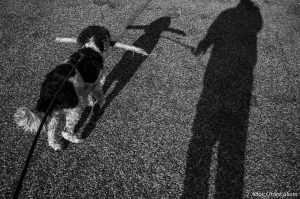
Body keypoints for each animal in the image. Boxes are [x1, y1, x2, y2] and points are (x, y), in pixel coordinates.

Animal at [14, 25, 148, 149]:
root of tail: (48, 92)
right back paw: (77, 139)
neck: (90, 47)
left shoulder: (85, 86)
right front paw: (99, 105)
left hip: (54, 114)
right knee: (65, 132)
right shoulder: (98, 83)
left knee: (51, 134)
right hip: (74, 109)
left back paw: (57, 146)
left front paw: (91, 104)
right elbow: (100, 97)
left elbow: (88, 97)